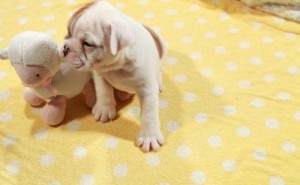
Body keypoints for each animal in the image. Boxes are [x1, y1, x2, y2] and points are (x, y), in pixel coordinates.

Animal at [59, 0, 165, 152]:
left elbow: (149, 113)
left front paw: (149, 136)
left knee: (160, 71)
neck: (117, 66)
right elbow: (103, 91)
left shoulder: (147, 90)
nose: (65, 48)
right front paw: (104, 109)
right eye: (68, 32)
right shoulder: (99, 74)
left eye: (87, 44)